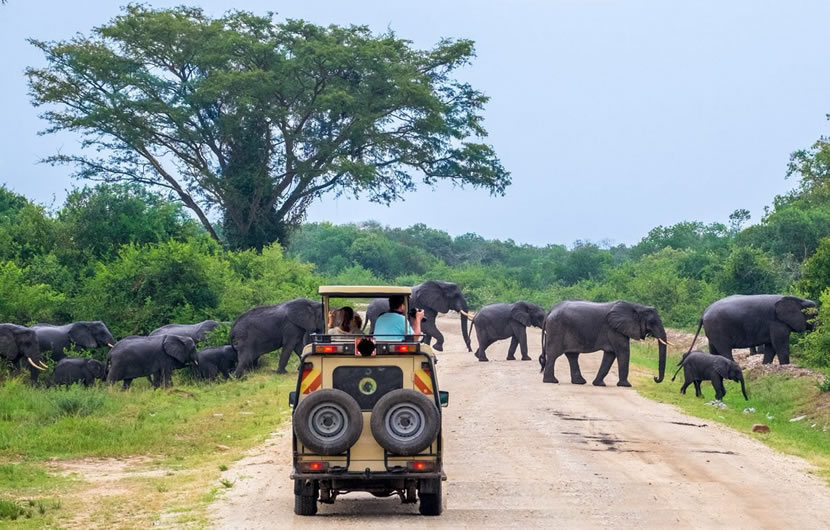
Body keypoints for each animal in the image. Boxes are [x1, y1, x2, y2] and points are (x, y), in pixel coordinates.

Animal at [540, 300, 668, 386]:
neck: (636, 306)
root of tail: (550, 311)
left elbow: (610, 355)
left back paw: (579, 382)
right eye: (652, 321)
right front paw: (626, 385)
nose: (655, 377)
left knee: (572, 356)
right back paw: (551, 381)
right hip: (557, 329)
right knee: (554, 355)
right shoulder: (614, 329)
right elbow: (623, 352)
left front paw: (599, 384)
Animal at [688, 292, 820, 364]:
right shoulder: (777, 322)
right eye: (814, 315)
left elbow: (771, 347)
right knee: (724, 349)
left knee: (714, 349)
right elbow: (780, 345)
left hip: (712, 330)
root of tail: (704, 313)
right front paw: (785, 366)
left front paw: (766, 365)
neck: (798, 299)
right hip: (717, 329)